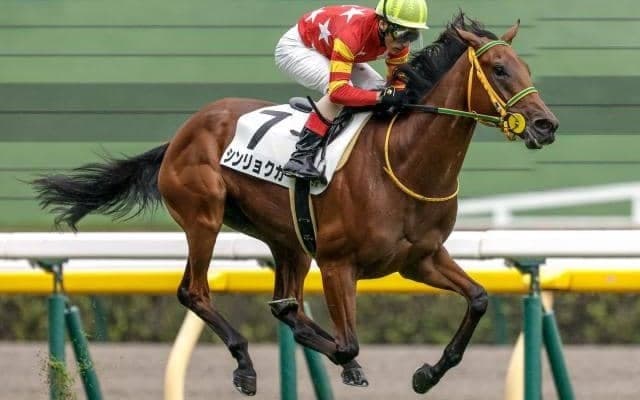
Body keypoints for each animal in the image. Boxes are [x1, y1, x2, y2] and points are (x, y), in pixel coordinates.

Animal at [32, 13, 558, 396]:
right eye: (499, 70)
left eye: (528, 69)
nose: (546, 124)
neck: (406, 161)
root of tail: (183, 132)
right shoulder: (338, 263)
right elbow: (346, 343)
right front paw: (344, 360)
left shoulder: (420, 259)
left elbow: (478, 299)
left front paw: (427, 373)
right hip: (205, 217)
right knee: (194, 292)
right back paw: (245, 363)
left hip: (288, 240)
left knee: (282, 300)